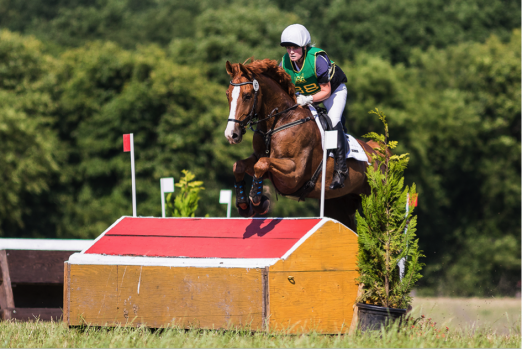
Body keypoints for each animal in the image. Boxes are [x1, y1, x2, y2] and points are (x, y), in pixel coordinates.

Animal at [223, 58, 374, 230]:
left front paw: (258, 202)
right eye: (228, 94)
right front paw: (244, 205)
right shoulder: (261, 160)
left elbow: (261, 164)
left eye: (247, 96)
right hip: (340, 203)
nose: (231, 134)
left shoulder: (294, 174)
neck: (279, 121)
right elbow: (240, 165)